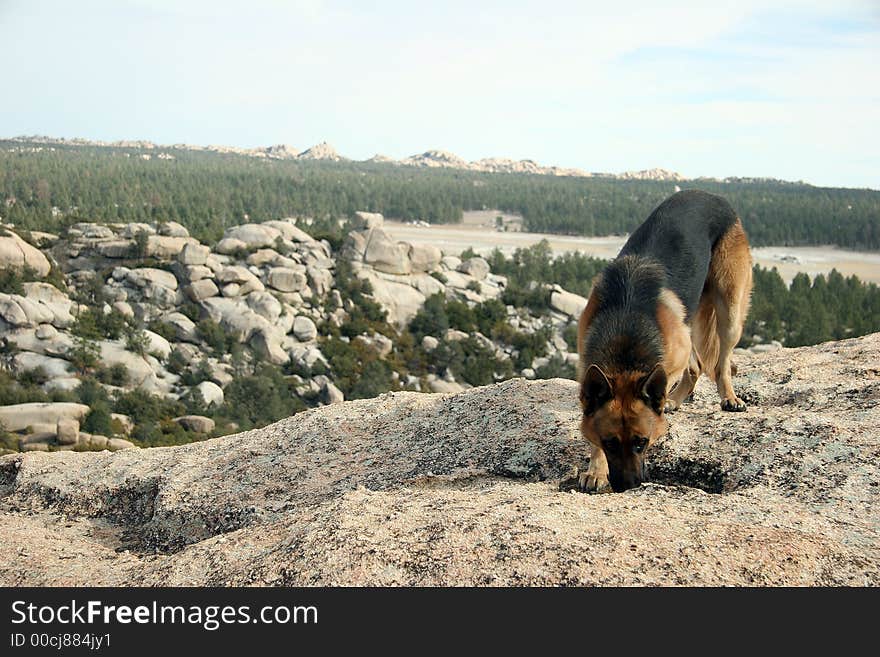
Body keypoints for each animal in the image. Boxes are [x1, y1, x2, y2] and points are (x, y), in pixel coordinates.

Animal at [576, 190, 752, 492]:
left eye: (641, 442)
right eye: (609, 443)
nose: (629, 485)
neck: (626, 323)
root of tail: (711, 194)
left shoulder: (669, 361)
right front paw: (596, 470)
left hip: (729, 313)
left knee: (720, 363)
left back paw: (728, 397)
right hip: (689, 322)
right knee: (697, 366)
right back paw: (675, 400)